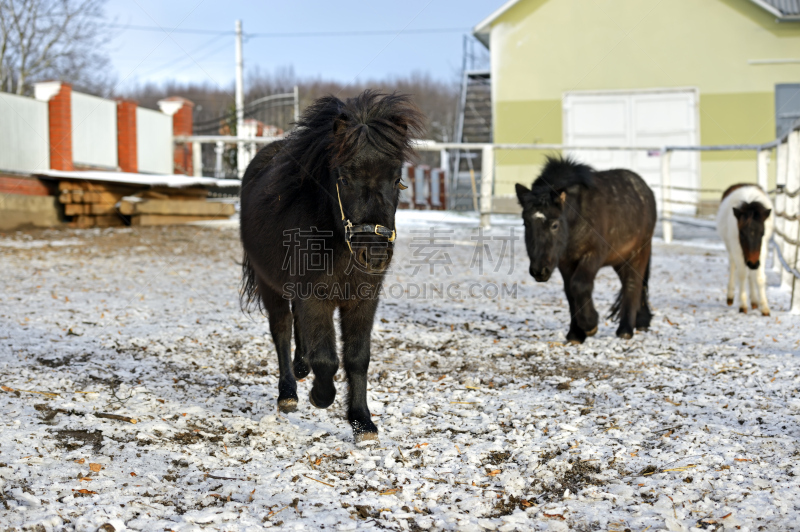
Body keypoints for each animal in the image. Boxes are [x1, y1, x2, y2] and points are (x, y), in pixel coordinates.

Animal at [239, 91, 422, 444]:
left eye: (396, 179)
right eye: (344, 178)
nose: (374, 255)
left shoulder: (363, 299)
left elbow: (357, 358)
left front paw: (362, 422)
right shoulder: (315, 298)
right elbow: (326, 358)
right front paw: (321, 397)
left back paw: (300, 368)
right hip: (271, 286)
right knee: (281, 329)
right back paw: (288, 393)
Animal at [520, 156, 656, 342]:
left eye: (554, 225)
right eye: (526, 223)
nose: (539, 271)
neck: (578, 215)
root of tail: (645, 190)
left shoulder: (593, 255)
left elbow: (579, 285)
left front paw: (590, 325)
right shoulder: (565, 262)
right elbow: (570, 292)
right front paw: (575, 334)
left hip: (638, 253)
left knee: (632, 284)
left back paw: (625, 329)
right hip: (620, 259)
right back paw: (641, 321)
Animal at [716, 184, 772, 316]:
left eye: (762, 233)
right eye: (741, 233)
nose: (753, 263)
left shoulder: (761, 252)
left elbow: (759, 277)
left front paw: (764, 307)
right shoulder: (737, 249)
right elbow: (741, 275)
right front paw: (742, 305)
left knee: (750, 273)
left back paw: (755, 301)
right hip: (731, 248)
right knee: (733, 267)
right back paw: (730, 296)